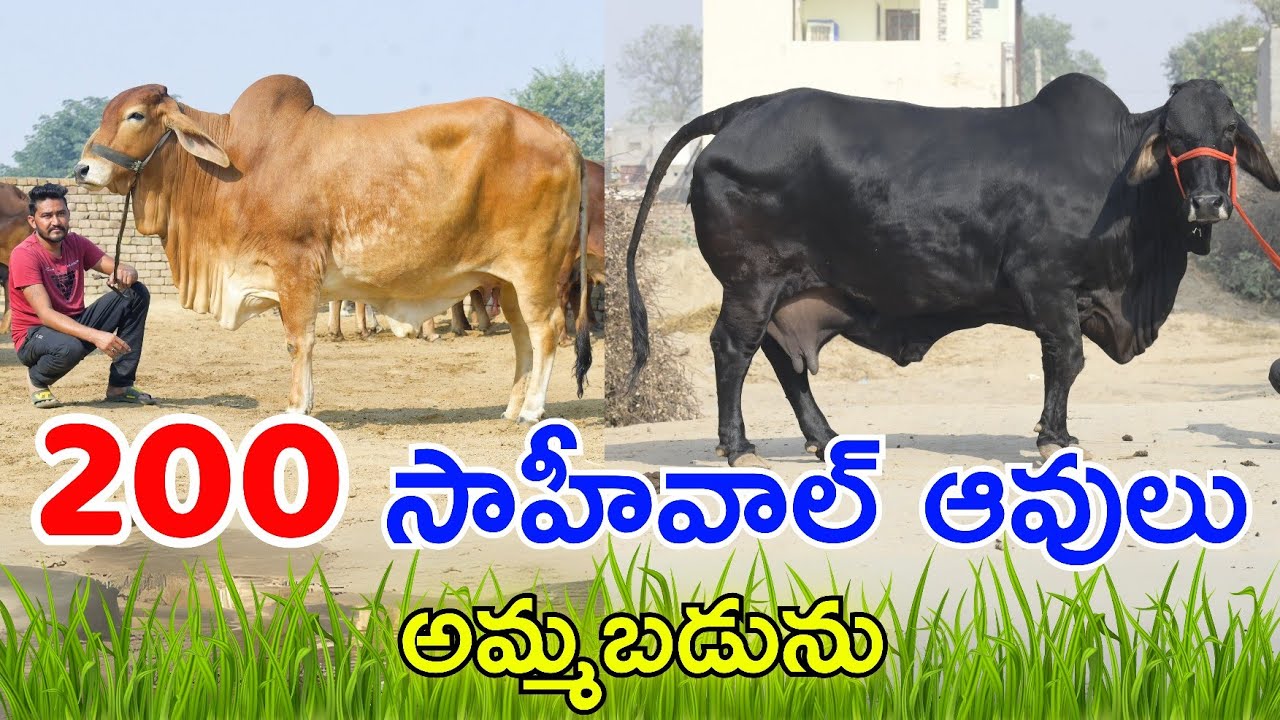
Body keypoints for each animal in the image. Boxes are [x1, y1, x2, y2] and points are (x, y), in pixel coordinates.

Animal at [75, 75, 593, 420]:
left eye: (136, 115)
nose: (82, 169)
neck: (235, 165)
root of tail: (563, 136)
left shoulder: (295, 268)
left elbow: (298, 341)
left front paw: (296, 408)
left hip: (536, 268)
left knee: (546, 330)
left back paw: (533, 411)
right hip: (506, 279)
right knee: (523, 336)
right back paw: (512, 407)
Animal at [622, 75, 1280, 468]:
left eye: (1228, 132)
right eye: (1174, 136)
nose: (1208, 203)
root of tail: (746, 109)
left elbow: (1063, 366)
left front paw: (1060, 435)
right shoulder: (1046, 285)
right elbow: (1066, 359)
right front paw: (1052, 439)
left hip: (786, 289)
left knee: (785, 361)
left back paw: (825, 438)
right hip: (751, 282)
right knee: (734, 349)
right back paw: (739, 448)